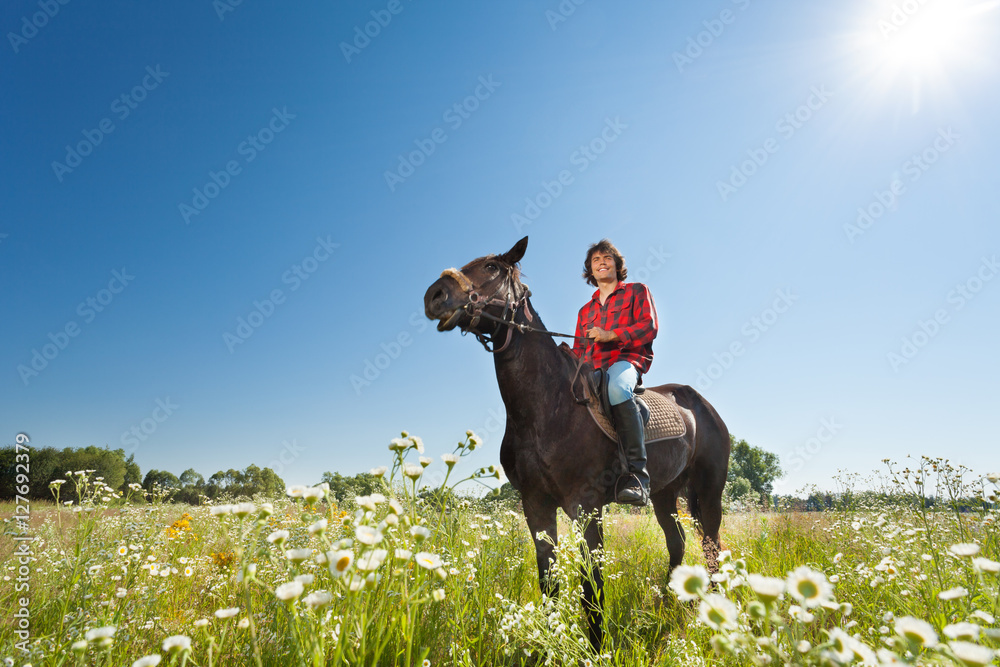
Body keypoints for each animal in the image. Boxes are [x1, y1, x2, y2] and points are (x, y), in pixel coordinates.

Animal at [418, 236, 732, 648]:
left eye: (491, 268)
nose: (434, 295)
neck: (546, 406)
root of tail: (703, 406)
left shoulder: (586, 507)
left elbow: (591, 587)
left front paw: (596, 647)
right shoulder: (536, 506)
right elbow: (548, 581)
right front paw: (551, 643)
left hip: (709, 493)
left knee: (712, 548)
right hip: (665, 494)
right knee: (677, 542)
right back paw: (668, 603)